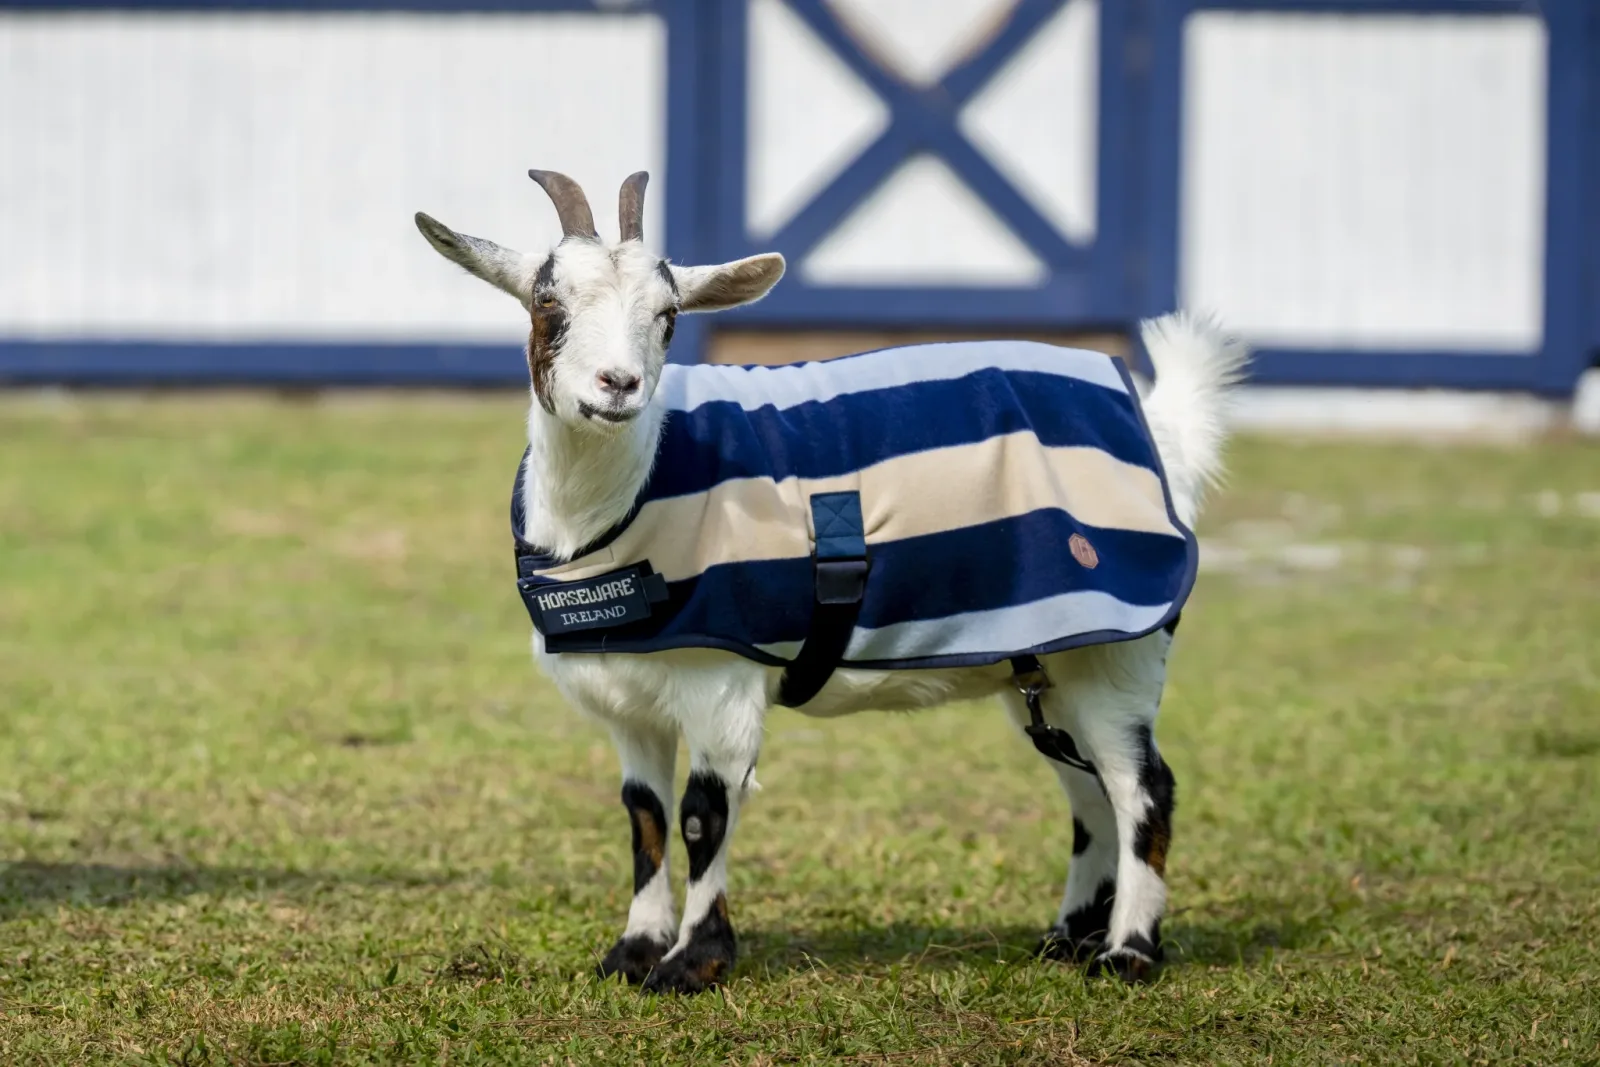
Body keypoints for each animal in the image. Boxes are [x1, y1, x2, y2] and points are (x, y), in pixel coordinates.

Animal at [415, 169, 1246, 994]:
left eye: (669, 315)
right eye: (548, 302)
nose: (617, 384)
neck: (624, 500)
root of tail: (1160, 434)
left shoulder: (722, 679)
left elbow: (702, 813)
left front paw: (694, 961)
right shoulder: (631, 699)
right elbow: (642, 813)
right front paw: (634, 951)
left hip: (1118, 653)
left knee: (1142, 786)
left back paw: (1128, 950)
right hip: (1044, 661)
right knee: (1086, 786)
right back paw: (1069, 937)